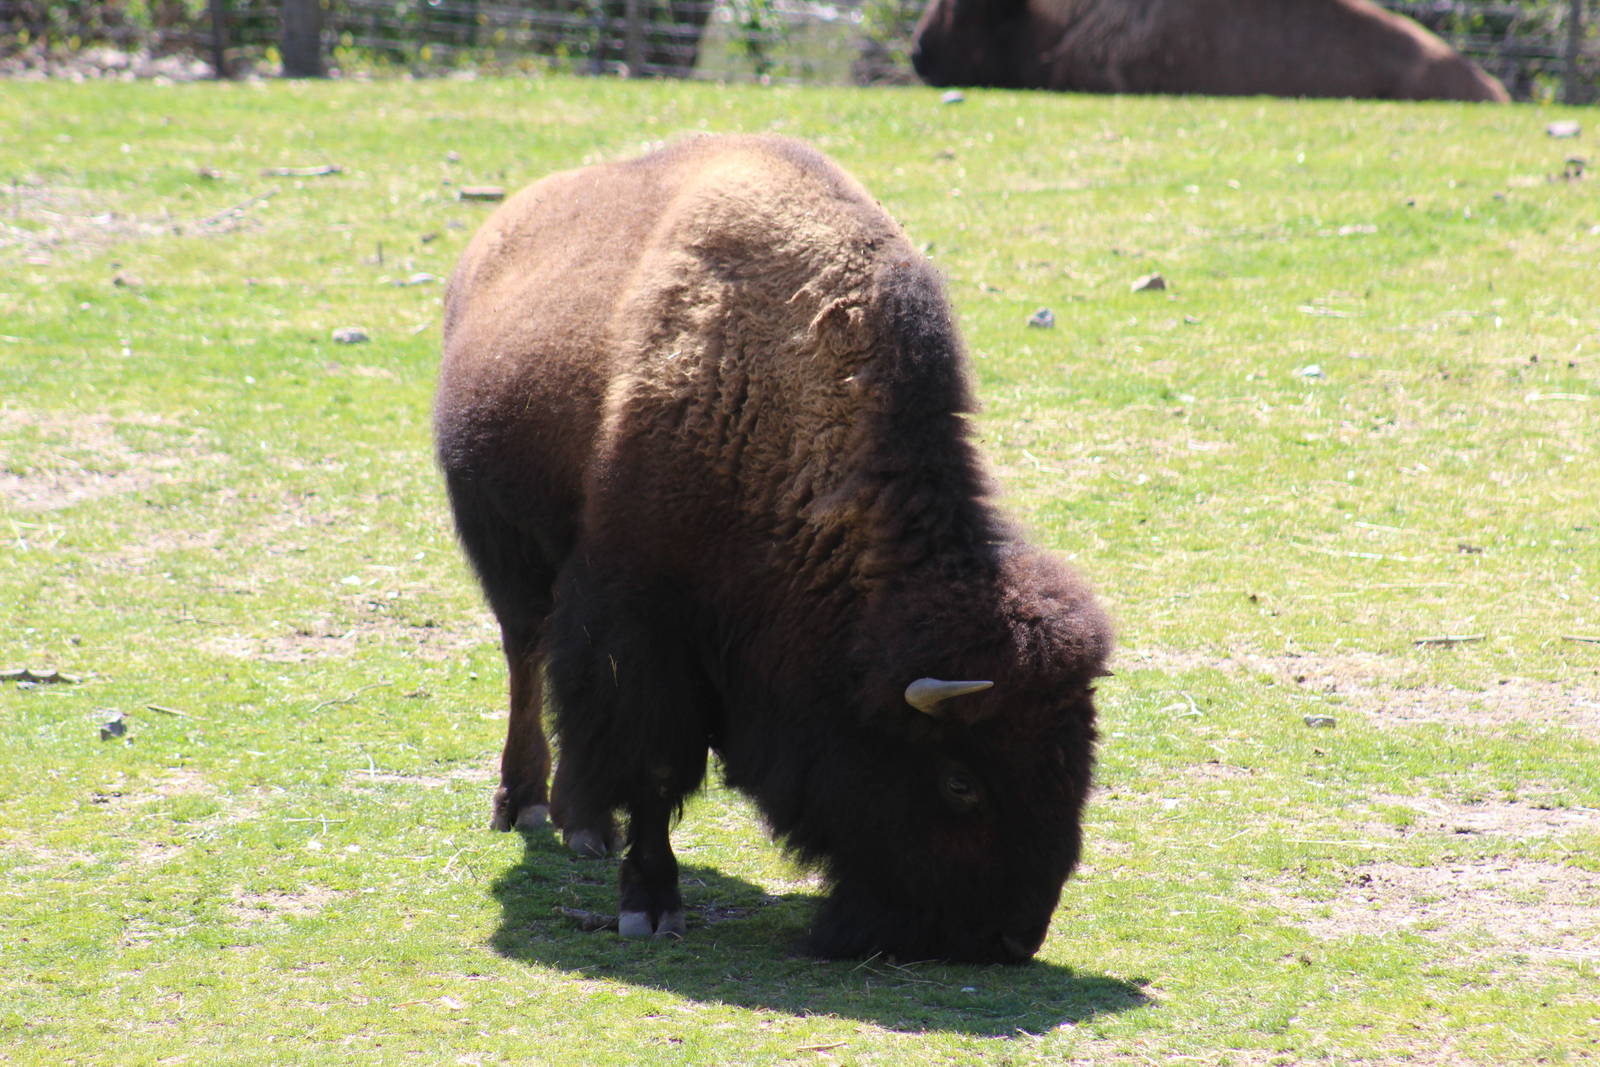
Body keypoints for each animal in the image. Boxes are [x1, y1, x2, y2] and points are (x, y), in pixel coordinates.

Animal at [434, 134, 1111, 963]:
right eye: (961, 781)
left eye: (1078, 765)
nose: (1010, 937)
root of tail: (490, 243)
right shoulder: (642, 630)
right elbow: (654, 762)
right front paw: (650, 904)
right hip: (504, 548)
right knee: (526, 661)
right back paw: (524, 803)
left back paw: (583, 825)